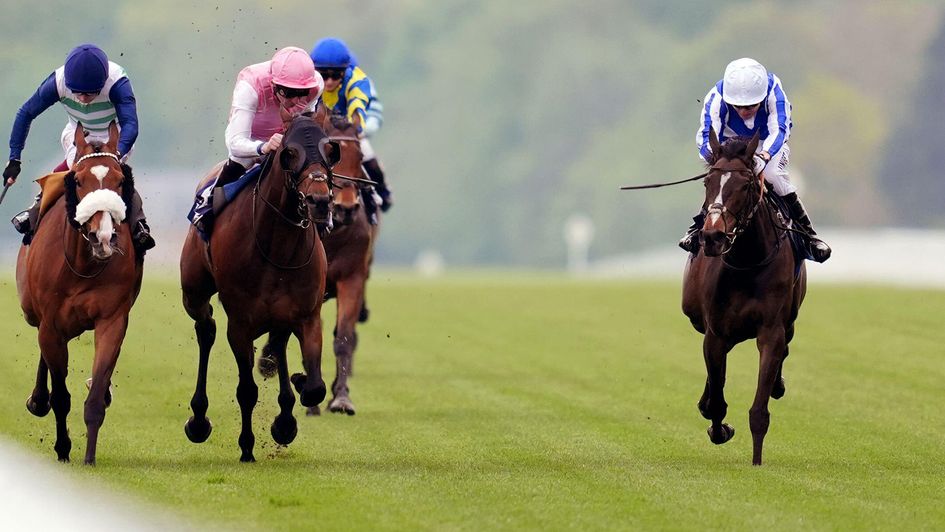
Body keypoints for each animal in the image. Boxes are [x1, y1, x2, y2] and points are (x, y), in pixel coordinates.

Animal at [16, 122, 144, 464]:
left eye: (120, 181)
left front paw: (89, 457)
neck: (83, 265)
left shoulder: (112, 319)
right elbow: (61, 397)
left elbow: (96, 395)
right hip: (34, 313)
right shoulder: (50, 324)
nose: (104, 237)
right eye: (79, 180)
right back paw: (38, 400)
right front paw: (63, 448)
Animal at [179, 113, 338, 462]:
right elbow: (247, 390)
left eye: (331, 150)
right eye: (289, 153)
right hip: (193, 293)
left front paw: (290, 408)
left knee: (277, 346)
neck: (277, 248)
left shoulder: (306, 315)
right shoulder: (240, 323)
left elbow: (315, 387)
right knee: (206, 329)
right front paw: (247, 447)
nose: (319, 201)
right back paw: (198, 420)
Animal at [260, 114, 378, 418]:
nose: (346, 208)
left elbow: (343, 338)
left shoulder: (352, 278)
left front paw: (341, 398)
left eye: (360, 155)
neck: (335, 235)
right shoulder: (311, 290)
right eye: (338, 155)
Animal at [680, 129, 804, 466]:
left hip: (789, 317)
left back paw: (778, 384)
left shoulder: (771, 331)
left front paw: (757, 462)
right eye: (707, 182)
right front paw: (720, 430)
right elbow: (716, 401)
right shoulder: (716, 333)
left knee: (787, 345)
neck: (748, 261)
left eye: (745, 185)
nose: (713, 236)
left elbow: (759, 410)